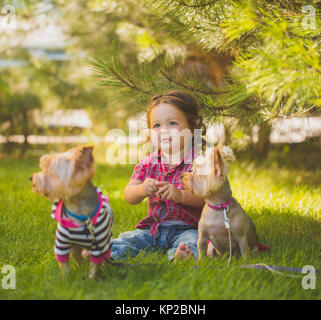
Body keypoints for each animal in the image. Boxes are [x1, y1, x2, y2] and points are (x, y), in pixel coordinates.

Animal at [29, 146, 114, 278]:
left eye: (49, 172)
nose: (31, 177)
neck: (80, 215)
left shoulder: (98, 246)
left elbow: (95, 266)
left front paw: (92, 279)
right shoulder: (62, 245)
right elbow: (64, 265)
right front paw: (66, 279)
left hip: (106, 242)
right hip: (75, 247)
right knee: (78, 255)